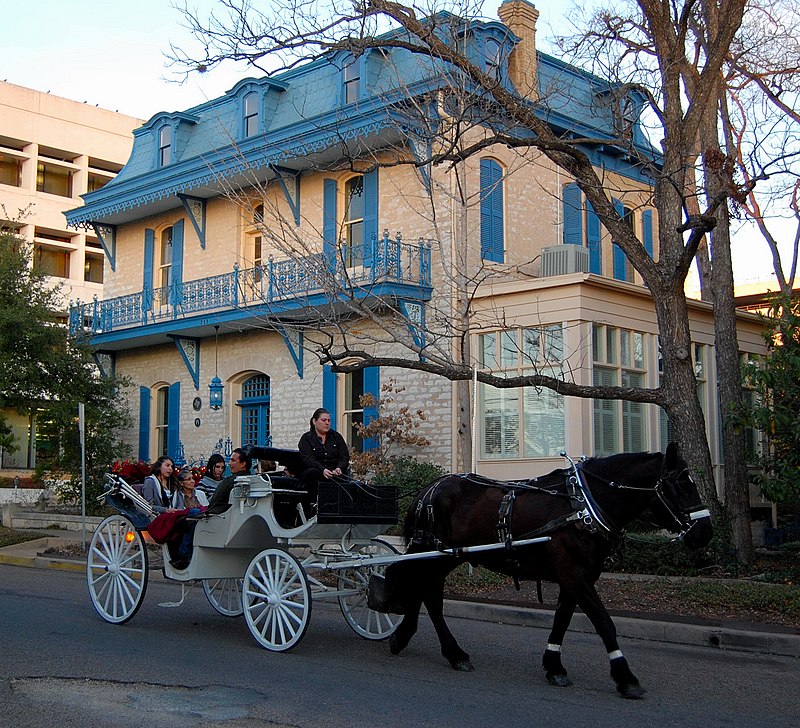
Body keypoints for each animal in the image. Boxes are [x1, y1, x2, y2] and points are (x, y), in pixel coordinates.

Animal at [372, 444, 716, 700]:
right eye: (680, 486)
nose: (706, 533)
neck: (582, 508)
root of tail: (429, 489)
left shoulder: (575, 577)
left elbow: (562, 619)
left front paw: (554, 666)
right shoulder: (575, 575)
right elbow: (604, 623)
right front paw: (625, 677)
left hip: (443, 556)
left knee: (423, 590)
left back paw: (412, 639)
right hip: (438, 555)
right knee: (429, 594)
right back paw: (452, 652)